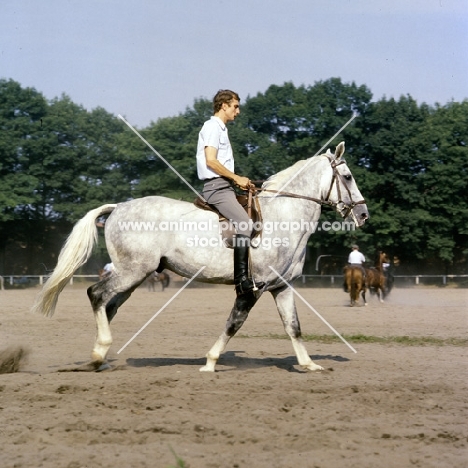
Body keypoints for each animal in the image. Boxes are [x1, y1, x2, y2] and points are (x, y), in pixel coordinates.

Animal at [32, 141, 370, 372]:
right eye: (348, 177)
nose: (364, 214)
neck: (284, 216)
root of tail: (118, 207)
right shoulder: (254, 287)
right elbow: (234, 323)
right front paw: (209, 362)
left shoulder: (281, 287)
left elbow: (293, 326)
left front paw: (309, 364)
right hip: (132, 271)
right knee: (97, 294)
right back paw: (98, 352)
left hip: (135, 275)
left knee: (109, 304)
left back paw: (99, 357)